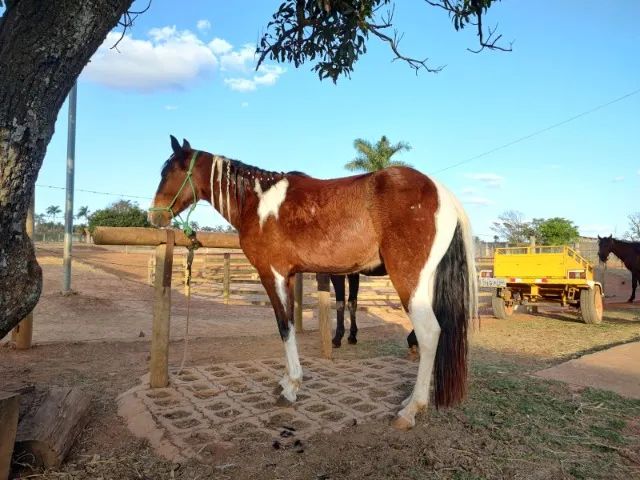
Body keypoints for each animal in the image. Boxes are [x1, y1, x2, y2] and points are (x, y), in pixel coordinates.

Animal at [149, 135, 478, 429]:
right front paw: (286, 381)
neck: (256, 202)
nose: (154, 215)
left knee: (429, 333)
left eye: (168, 172)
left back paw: (410, 410)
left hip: (409, 280)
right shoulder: (289, 276)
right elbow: (290, 326)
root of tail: (442, 193)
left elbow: (283, 326)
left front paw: (291, 387)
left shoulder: (272, 274)